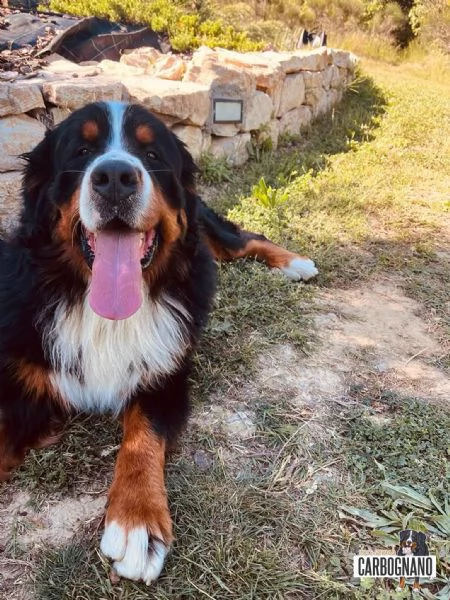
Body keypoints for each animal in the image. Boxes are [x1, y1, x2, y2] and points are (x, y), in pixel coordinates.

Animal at [0, 101, 316, 584]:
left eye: (151, 155)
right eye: (81, 151)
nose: (114, 176)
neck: (103, 315)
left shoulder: (165, 374)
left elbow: (142, 437)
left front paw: (137, 521)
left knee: (244, 240)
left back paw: (294, 262)